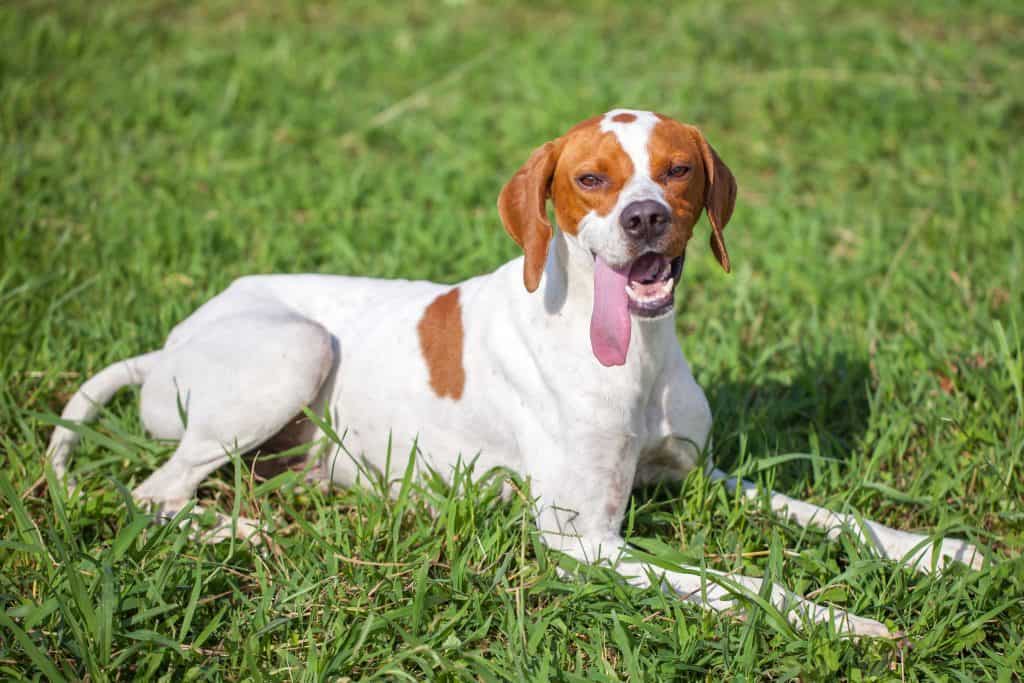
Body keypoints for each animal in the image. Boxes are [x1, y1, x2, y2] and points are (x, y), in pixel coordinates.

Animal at [48, 109, 983, 638]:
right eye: (591, 178)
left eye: (676, 169)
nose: (644, 218)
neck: (633, 355)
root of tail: (171, 341)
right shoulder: (581, 541)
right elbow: (736, 578)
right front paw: (841, 616)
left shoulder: (700, 472)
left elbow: (827, 514)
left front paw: (934, 552)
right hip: (298, 348)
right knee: (155, 492)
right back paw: (239, 531)